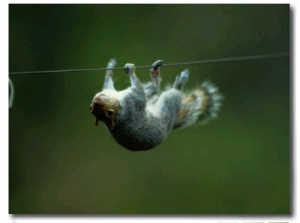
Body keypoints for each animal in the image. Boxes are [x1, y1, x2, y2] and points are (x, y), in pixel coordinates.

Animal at [90, 58, 221, 152]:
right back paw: (179, 82)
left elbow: (108, 83)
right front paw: (131, 70)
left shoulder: (116, 93)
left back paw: (156, 73)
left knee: (154, 89)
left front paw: (110, 68)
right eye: (108, 112)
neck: (120, 106)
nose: (96, 98)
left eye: (91, 108)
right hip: (169, 101)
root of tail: (173, 122)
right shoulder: (134, 102)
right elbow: (141, 89)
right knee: (172, 93)